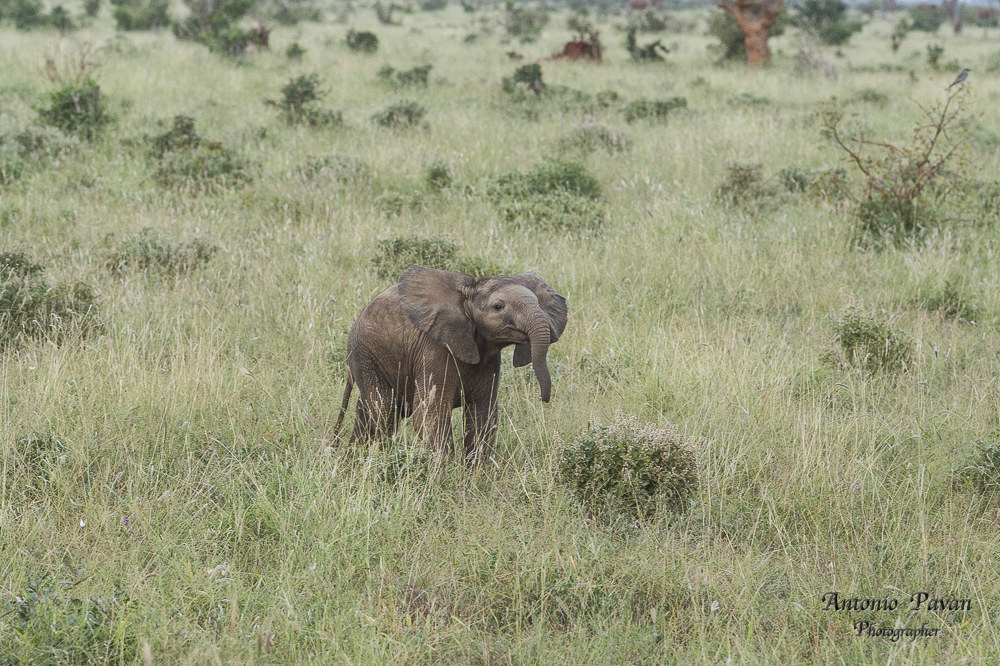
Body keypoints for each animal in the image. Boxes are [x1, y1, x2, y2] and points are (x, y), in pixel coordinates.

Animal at [333, 265, 567, 465]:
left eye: (539, 304)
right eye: (498, 307)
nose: (543, 399)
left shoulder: (490, 362)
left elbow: (483, 416)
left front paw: (474, 476)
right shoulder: (434, 349)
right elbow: (430, 413)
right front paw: (444, 474)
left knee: (369, 411)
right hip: (365, 354)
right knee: (384, 410)